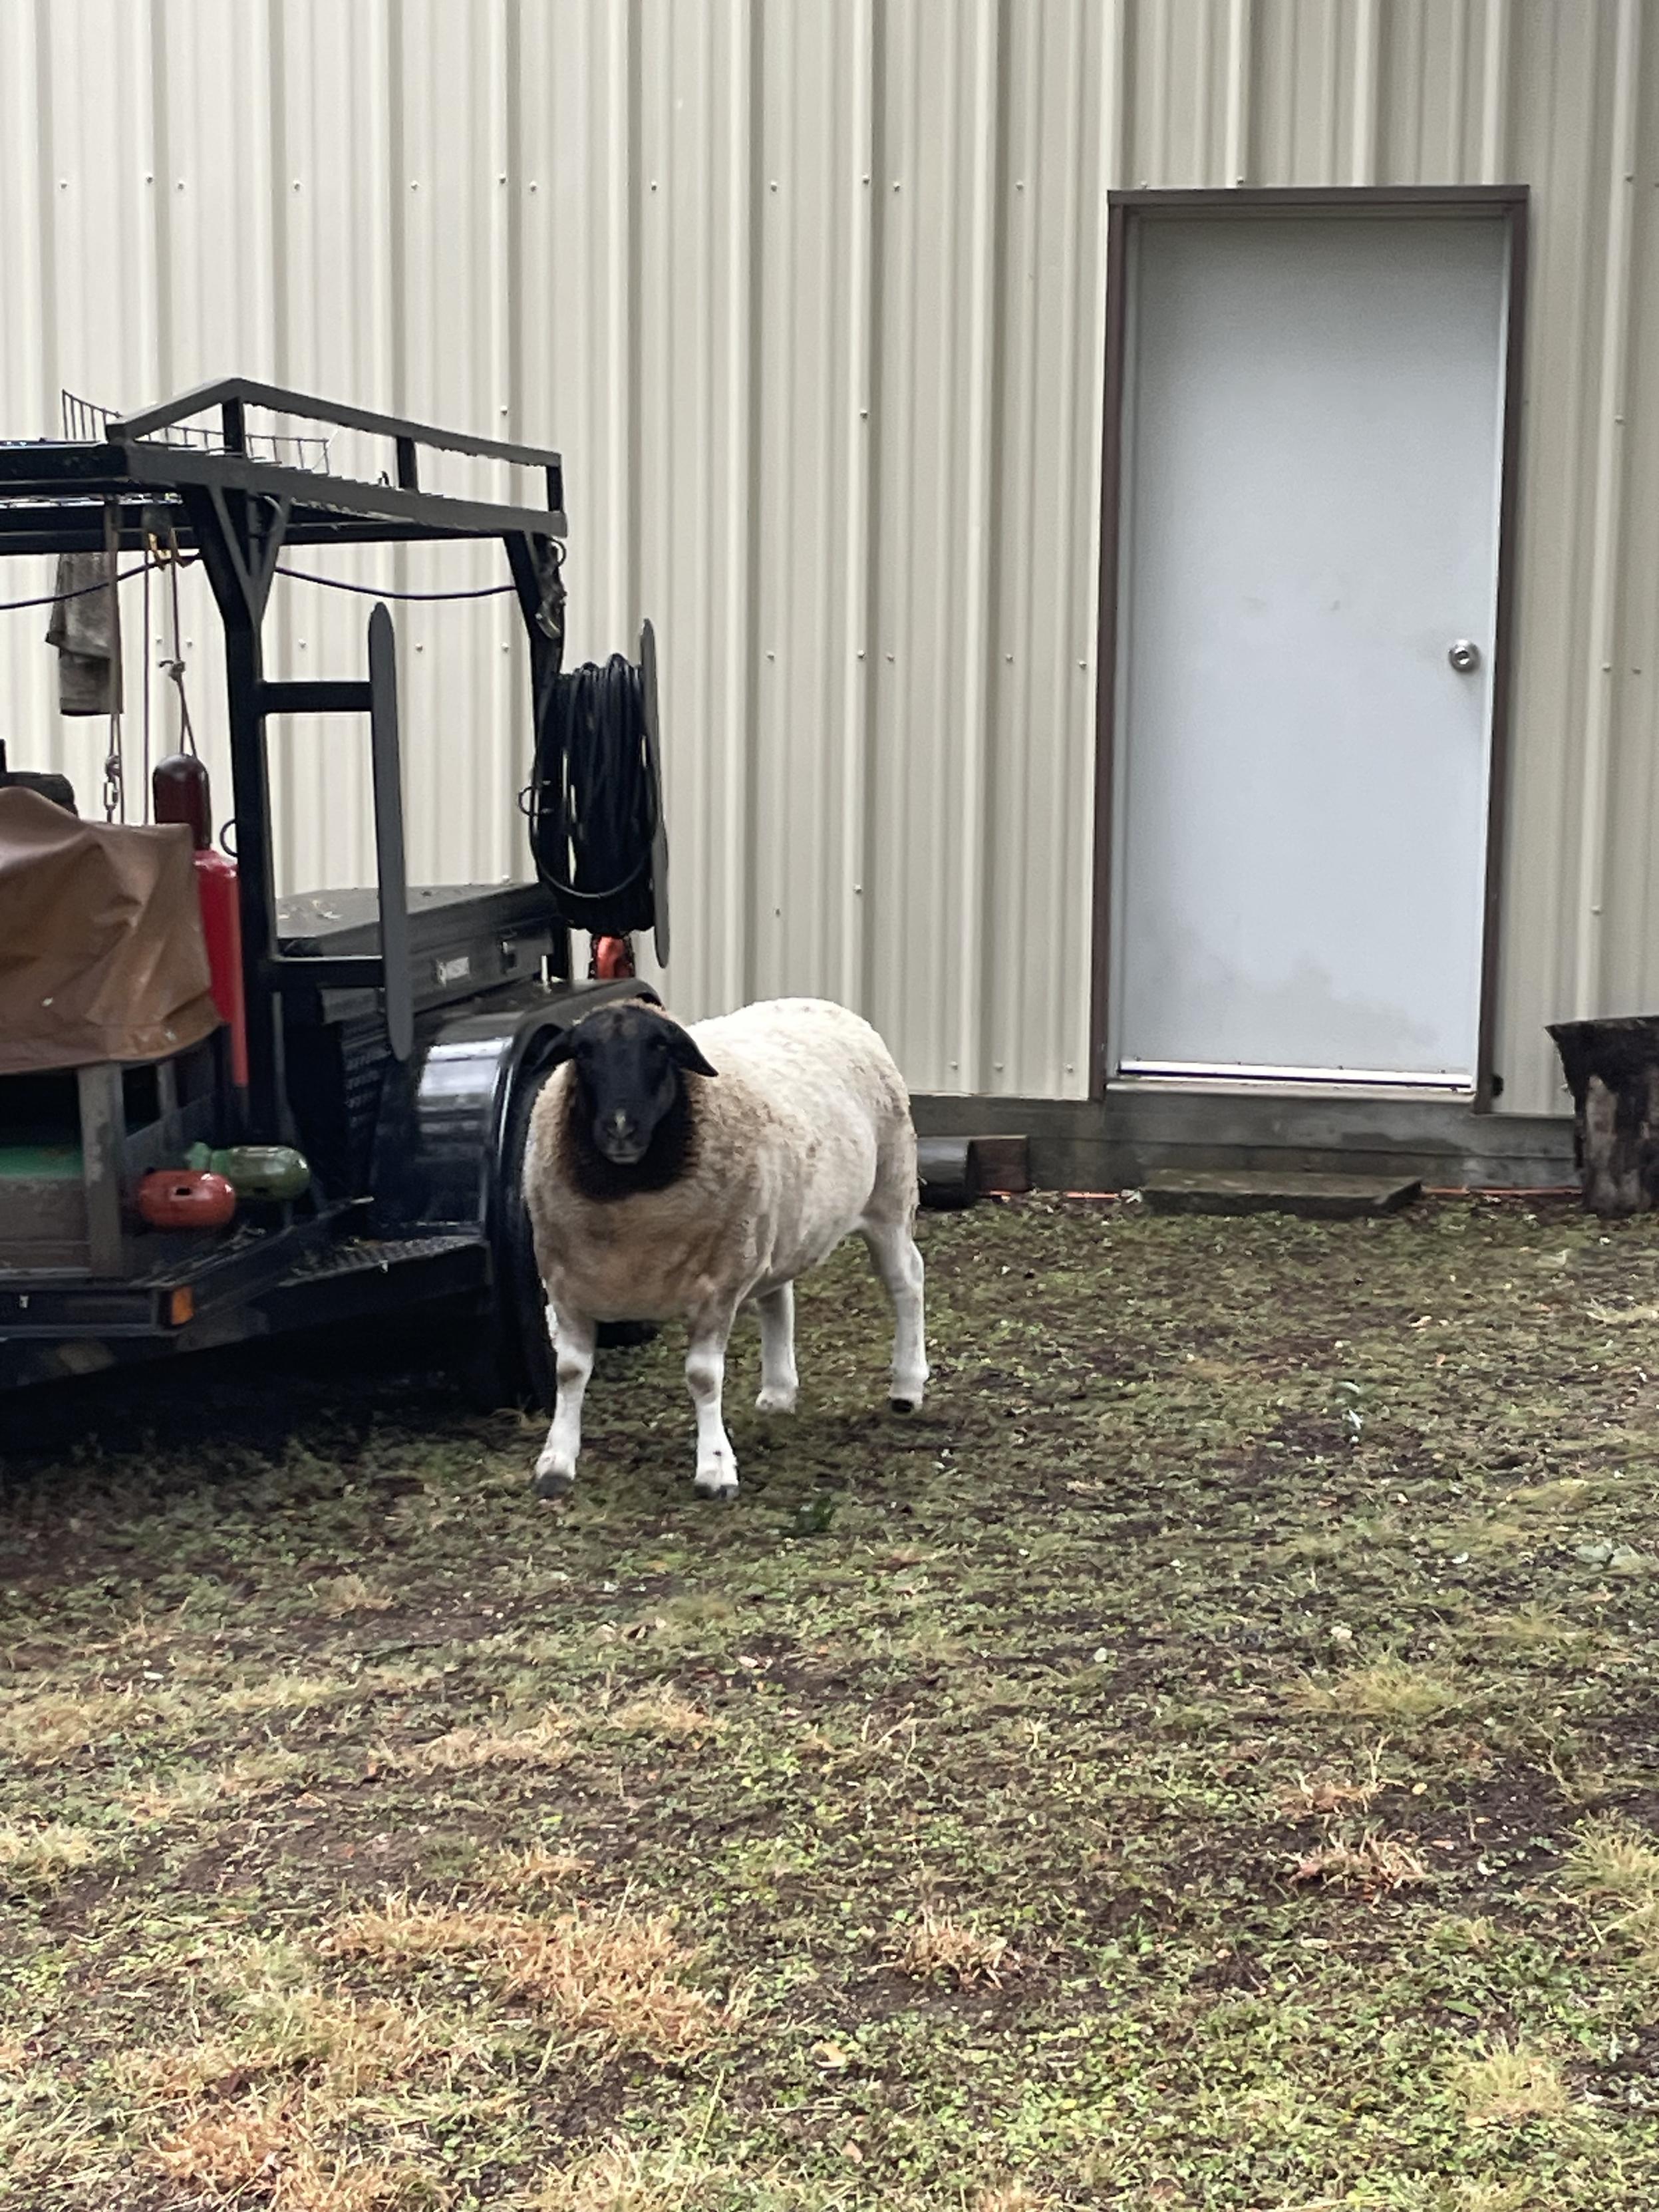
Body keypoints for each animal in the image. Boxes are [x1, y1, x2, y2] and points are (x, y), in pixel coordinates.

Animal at [522, 995, 927, 1499]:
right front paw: (556, 1462)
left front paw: (715, 1468)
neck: (629, 1202)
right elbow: (570, 1372)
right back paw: (779, 1390)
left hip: (889, 1198)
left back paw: (907, 1386)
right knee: (778, 1296)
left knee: (907, 1281)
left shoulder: (716, 1285)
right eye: (582, 1051)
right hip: (774, 1223)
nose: (620, 1128)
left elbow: (703, 1376)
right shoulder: (565, 1284)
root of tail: (822, 1004)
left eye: (662, 1047)